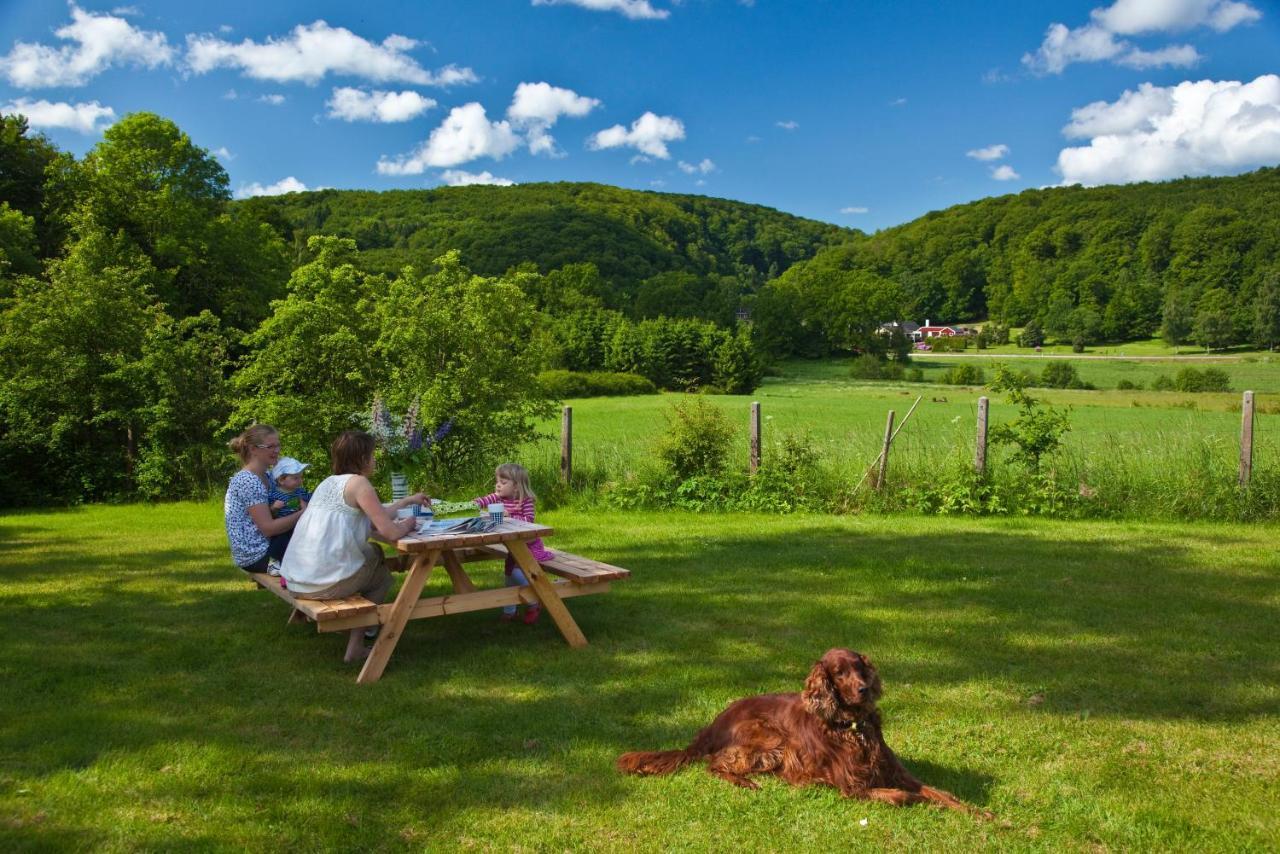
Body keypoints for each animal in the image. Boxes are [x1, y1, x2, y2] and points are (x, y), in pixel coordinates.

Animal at [616, 650, 988, 819]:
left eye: (859, 667)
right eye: (839, 673)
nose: (864, 689)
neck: (852, 728)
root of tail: (711, 725)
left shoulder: (896, 773)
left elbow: (939, 792)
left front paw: (980, 814)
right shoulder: (853, 789)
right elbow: (906, 797)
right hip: (770, 737)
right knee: (716, 764)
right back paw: (748, 783)